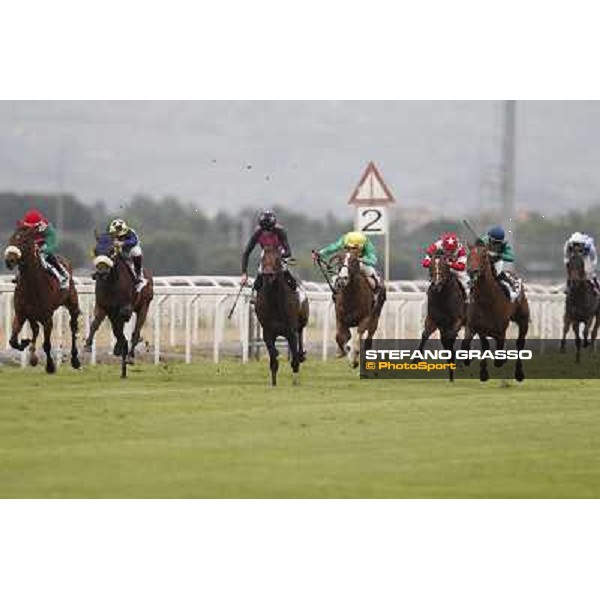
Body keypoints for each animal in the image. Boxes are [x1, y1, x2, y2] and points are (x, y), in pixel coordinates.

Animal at [3, 225, 81, 372]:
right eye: (10, 239)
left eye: (24, 241)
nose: (9, 260)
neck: (32, 285)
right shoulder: (21, 314)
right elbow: (13, 341)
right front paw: (25, 343)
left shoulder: (47, 318)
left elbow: (47, 344)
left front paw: (50, 366)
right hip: (32, 315)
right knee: (35, 329)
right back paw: (33, 355)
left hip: (72, 303)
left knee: (73, 327)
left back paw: (75, 360)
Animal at [84, 232, 155, 378]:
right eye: (96, 250)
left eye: (112, 250)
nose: (101, 272)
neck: (111, 283)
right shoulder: (103, 306)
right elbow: (95, 324)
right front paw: (88, 344)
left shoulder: (124, 307)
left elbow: (123, 323)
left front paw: (123, 348)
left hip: (144, 306)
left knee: (135, 332)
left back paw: (130, 356)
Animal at [254, 246, 310, 386]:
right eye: (262, 258)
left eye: (277, 259)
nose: (268, 274)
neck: (275, 302)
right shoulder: (267, 331)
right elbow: (273, 358)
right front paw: (273, 382)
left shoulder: (291, 331)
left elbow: (294, 359)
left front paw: (295, 380)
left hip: (301, 323)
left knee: (300, 336)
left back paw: (301, 355)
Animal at [460, 243, 528, 380]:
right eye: (469, 255)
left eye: (484, 256)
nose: (472, 271)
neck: (487, 300)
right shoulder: (475, 326)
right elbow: (475, 345)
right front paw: (482, 371)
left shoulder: (500, 331)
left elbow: (499, 354)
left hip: (523, 319)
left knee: (520, 343)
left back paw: (519, 373)